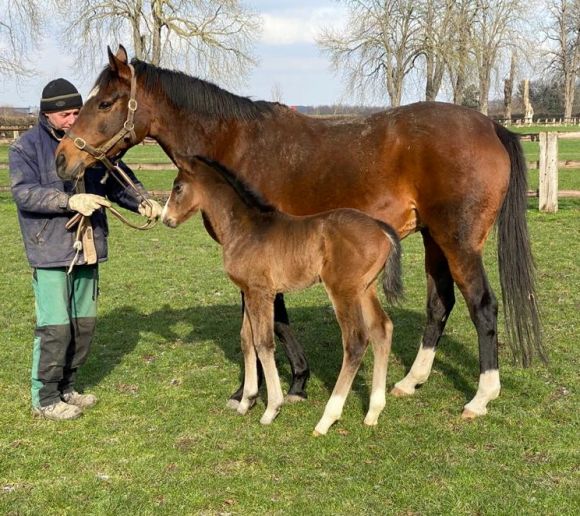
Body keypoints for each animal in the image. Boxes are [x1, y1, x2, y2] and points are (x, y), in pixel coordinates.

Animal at [161, 155, 402, 434]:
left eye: (178, 187)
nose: (166, 219)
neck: (244, 228)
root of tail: (381, 228)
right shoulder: (249, 292)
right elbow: (246, 340)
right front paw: (246, 401)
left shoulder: (261, 293)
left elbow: (263, 343)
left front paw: (272, 408)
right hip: (365, 288)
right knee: (382, 329)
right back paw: (373, 411)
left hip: (343, 291)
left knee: (356, 341)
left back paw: (327, 419)